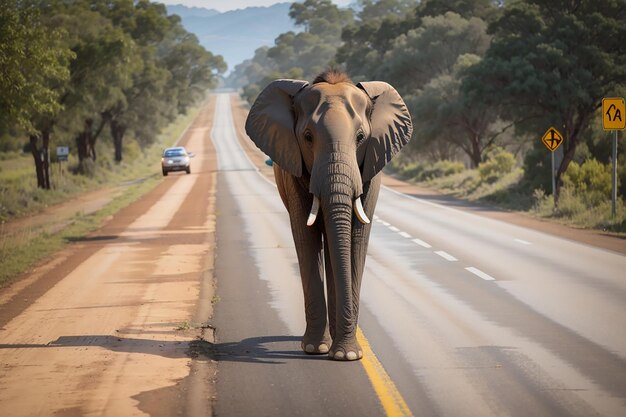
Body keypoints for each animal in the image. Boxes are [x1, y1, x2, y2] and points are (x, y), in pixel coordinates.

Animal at [246, 70, 412, 360]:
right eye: (308, 137)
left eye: (361, 137)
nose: (347, 353)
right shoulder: (293, 168)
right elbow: (306, 237)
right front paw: (316, 349)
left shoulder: (370, 170)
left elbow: (356, 240)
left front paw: (347, 355)